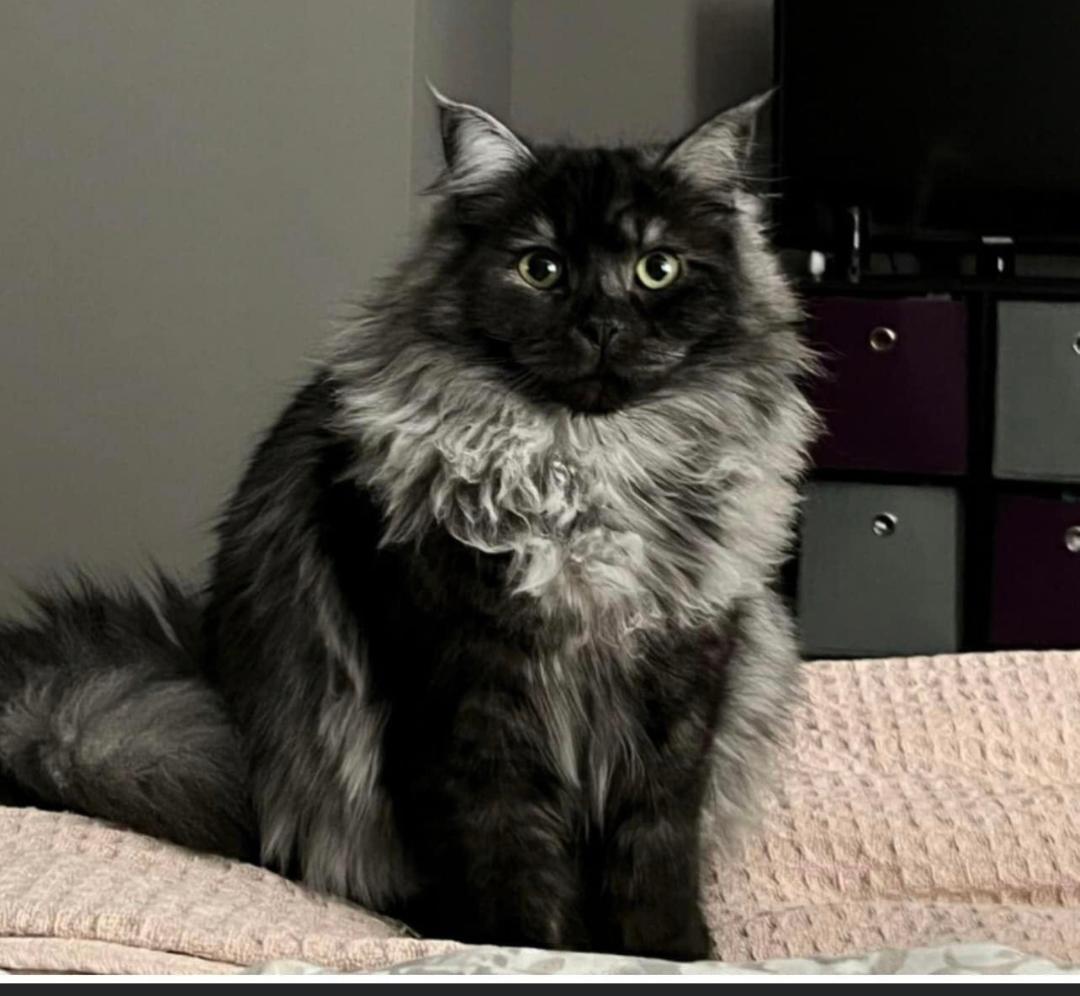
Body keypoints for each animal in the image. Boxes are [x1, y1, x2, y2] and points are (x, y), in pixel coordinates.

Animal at [0, 89, 812, 959]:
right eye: (541, 268)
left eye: (657, 268)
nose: (601, 323)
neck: (584, 473)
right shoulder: (464, 683)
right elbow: (506, 846)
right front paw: (526, 949)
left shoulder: (682, 685)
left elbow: (654, 847)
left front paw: (670, 953)